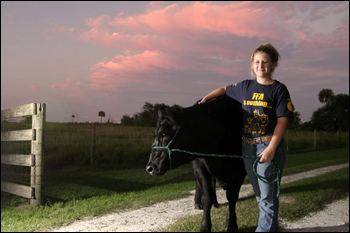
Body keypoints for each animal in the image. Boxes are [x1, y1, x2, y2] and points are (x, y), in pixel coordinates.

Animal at [146, 95, 247, 232]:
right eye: (155, 135)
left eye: (164, 133)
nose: (149, 167)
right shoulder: (201, 166)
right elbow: (207, 197)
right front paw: (205, 226)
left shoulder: (242, 170)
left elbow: (232, 196)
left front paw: (231, 224)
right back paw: (198, 203)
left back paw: (216, 203)